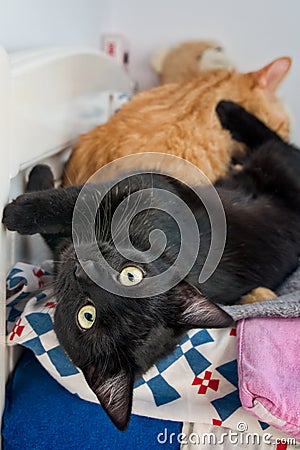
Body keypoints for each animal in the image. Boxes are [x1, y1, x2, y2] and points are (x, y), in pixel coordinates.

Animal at [4, 100, 300, 430]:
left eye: (87, 316)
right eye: (132, 275)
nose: (84, 269)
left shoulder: (143, 187)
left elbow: (74, 201)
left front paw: (20, 208)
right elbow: (71, 212)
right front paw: (37, 181)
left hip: (277, 163)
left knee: (277, 142)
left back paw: (227, 109)